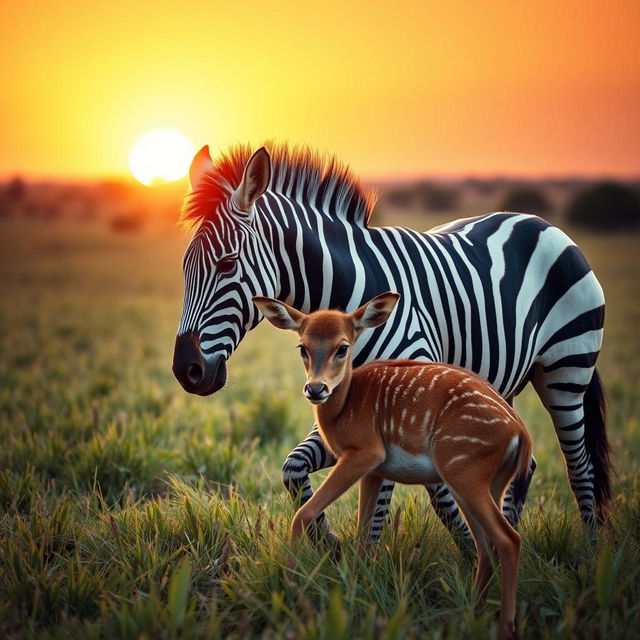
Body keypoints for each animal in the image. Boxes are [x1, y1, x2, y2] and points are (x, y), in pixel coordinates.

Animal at [172, 142, 612, 544]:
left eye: (227, 264)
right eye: (183, 267)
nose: (185, 370)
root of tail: (537, 221)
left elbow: (411, 497)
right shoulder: (342, 403)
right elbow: (294, 469)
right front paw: (330, 547)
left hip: (567, 369)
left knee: (580, 467)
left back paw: (590, 554)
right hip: (496, 388)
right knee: (524, 460)